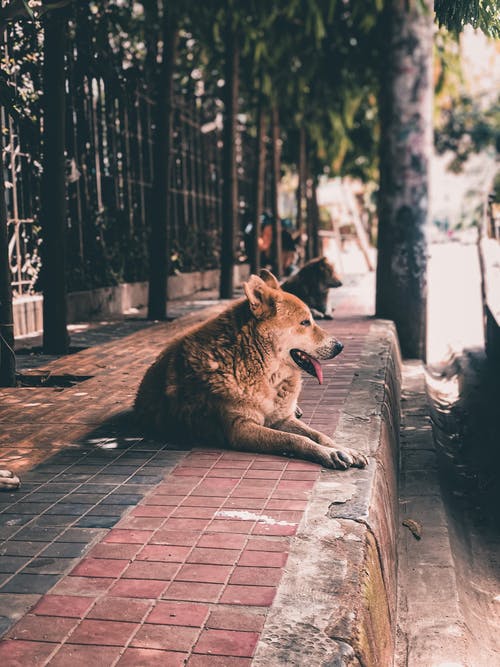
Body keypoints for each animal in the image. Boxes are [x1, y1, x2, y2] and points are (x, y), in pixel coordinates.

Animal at [135, 268, 366, 468]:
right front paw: (329, 453)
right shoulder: (240, 428)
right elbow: (295, 439)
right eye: (304, 322)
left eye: (310, 320)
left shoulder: (283, 419)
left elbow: (319, 434)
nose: (340, 346)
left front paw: (343, 449)